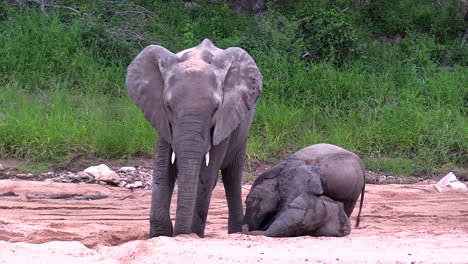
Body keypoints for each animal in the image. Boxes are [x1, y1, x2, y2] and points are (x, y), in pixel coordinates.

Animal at [126, 38, 262, 237]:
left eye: (216, 108)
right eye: (168, 106)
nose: (179, 234)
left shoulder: (224, 120)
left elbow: (205, 176)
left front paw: (191, 235)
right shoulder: (161, 118)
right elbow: (163, 169)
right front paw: (160, 234)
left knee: (232, 176)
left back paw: (236, 233)